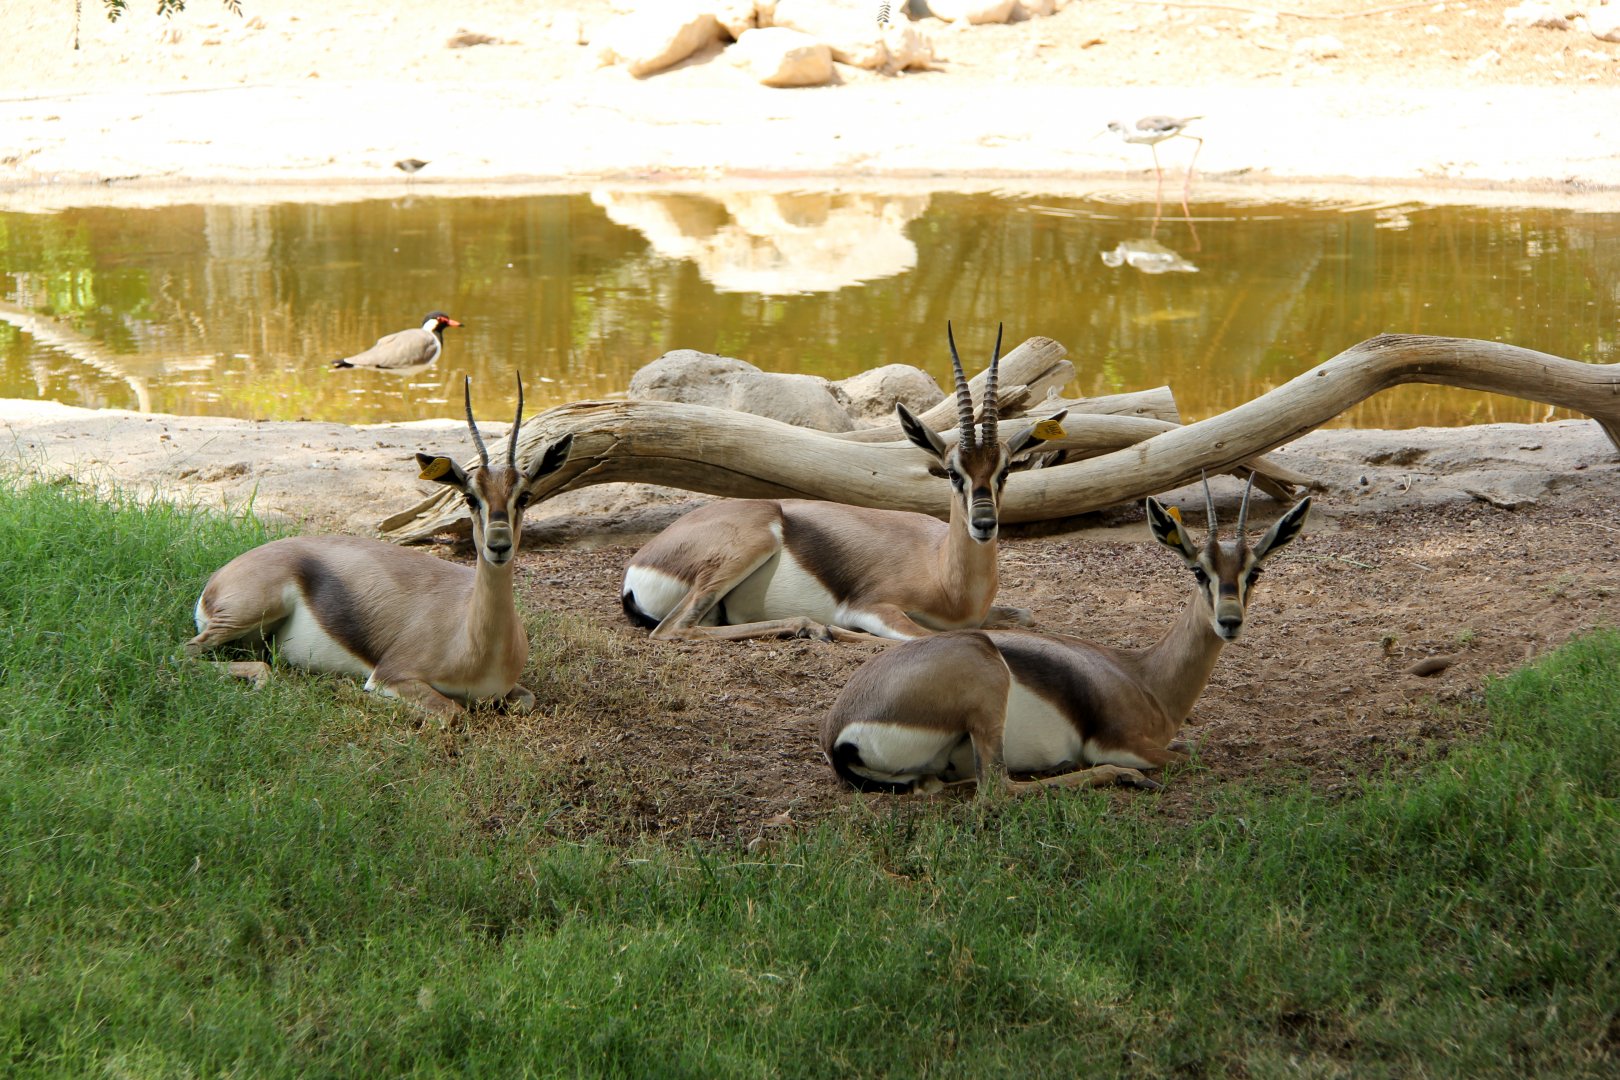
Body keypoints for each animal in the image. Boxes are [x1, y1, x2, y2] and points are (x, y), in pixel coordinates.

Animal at [185, 377, 573, 717]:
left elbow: (525, 700)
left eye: (524, 497)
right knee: (186, 653)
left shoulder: (511, 692)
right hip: (247, 614)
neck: (474, 644)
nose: (498, 545)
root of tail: (218, 578)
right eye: (469, 497)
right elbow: (452, 712)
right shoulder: (390, 675)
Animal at [620, 325, 1066, 643]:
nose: (984, 524)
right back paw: (809, 627)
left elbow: (1023, 616)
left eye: (1004, 471)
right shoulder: (870, 608)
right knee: (671, 631)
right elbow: (917, 637)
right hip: (749, 546)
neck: (943, 573)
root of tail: (638, 566)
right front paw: (835, 630)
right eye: (953, 472)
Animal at [821, 476, 1312, 794]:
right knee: (996, 790)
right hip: (985, 683)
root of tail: (840, 730)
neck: (1147, 679)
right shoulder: (1124, 743)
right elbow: (1191, 756)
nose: (1229, 621)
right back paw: (1117, 777)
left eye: (1254, 572)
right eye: (1198, 571)